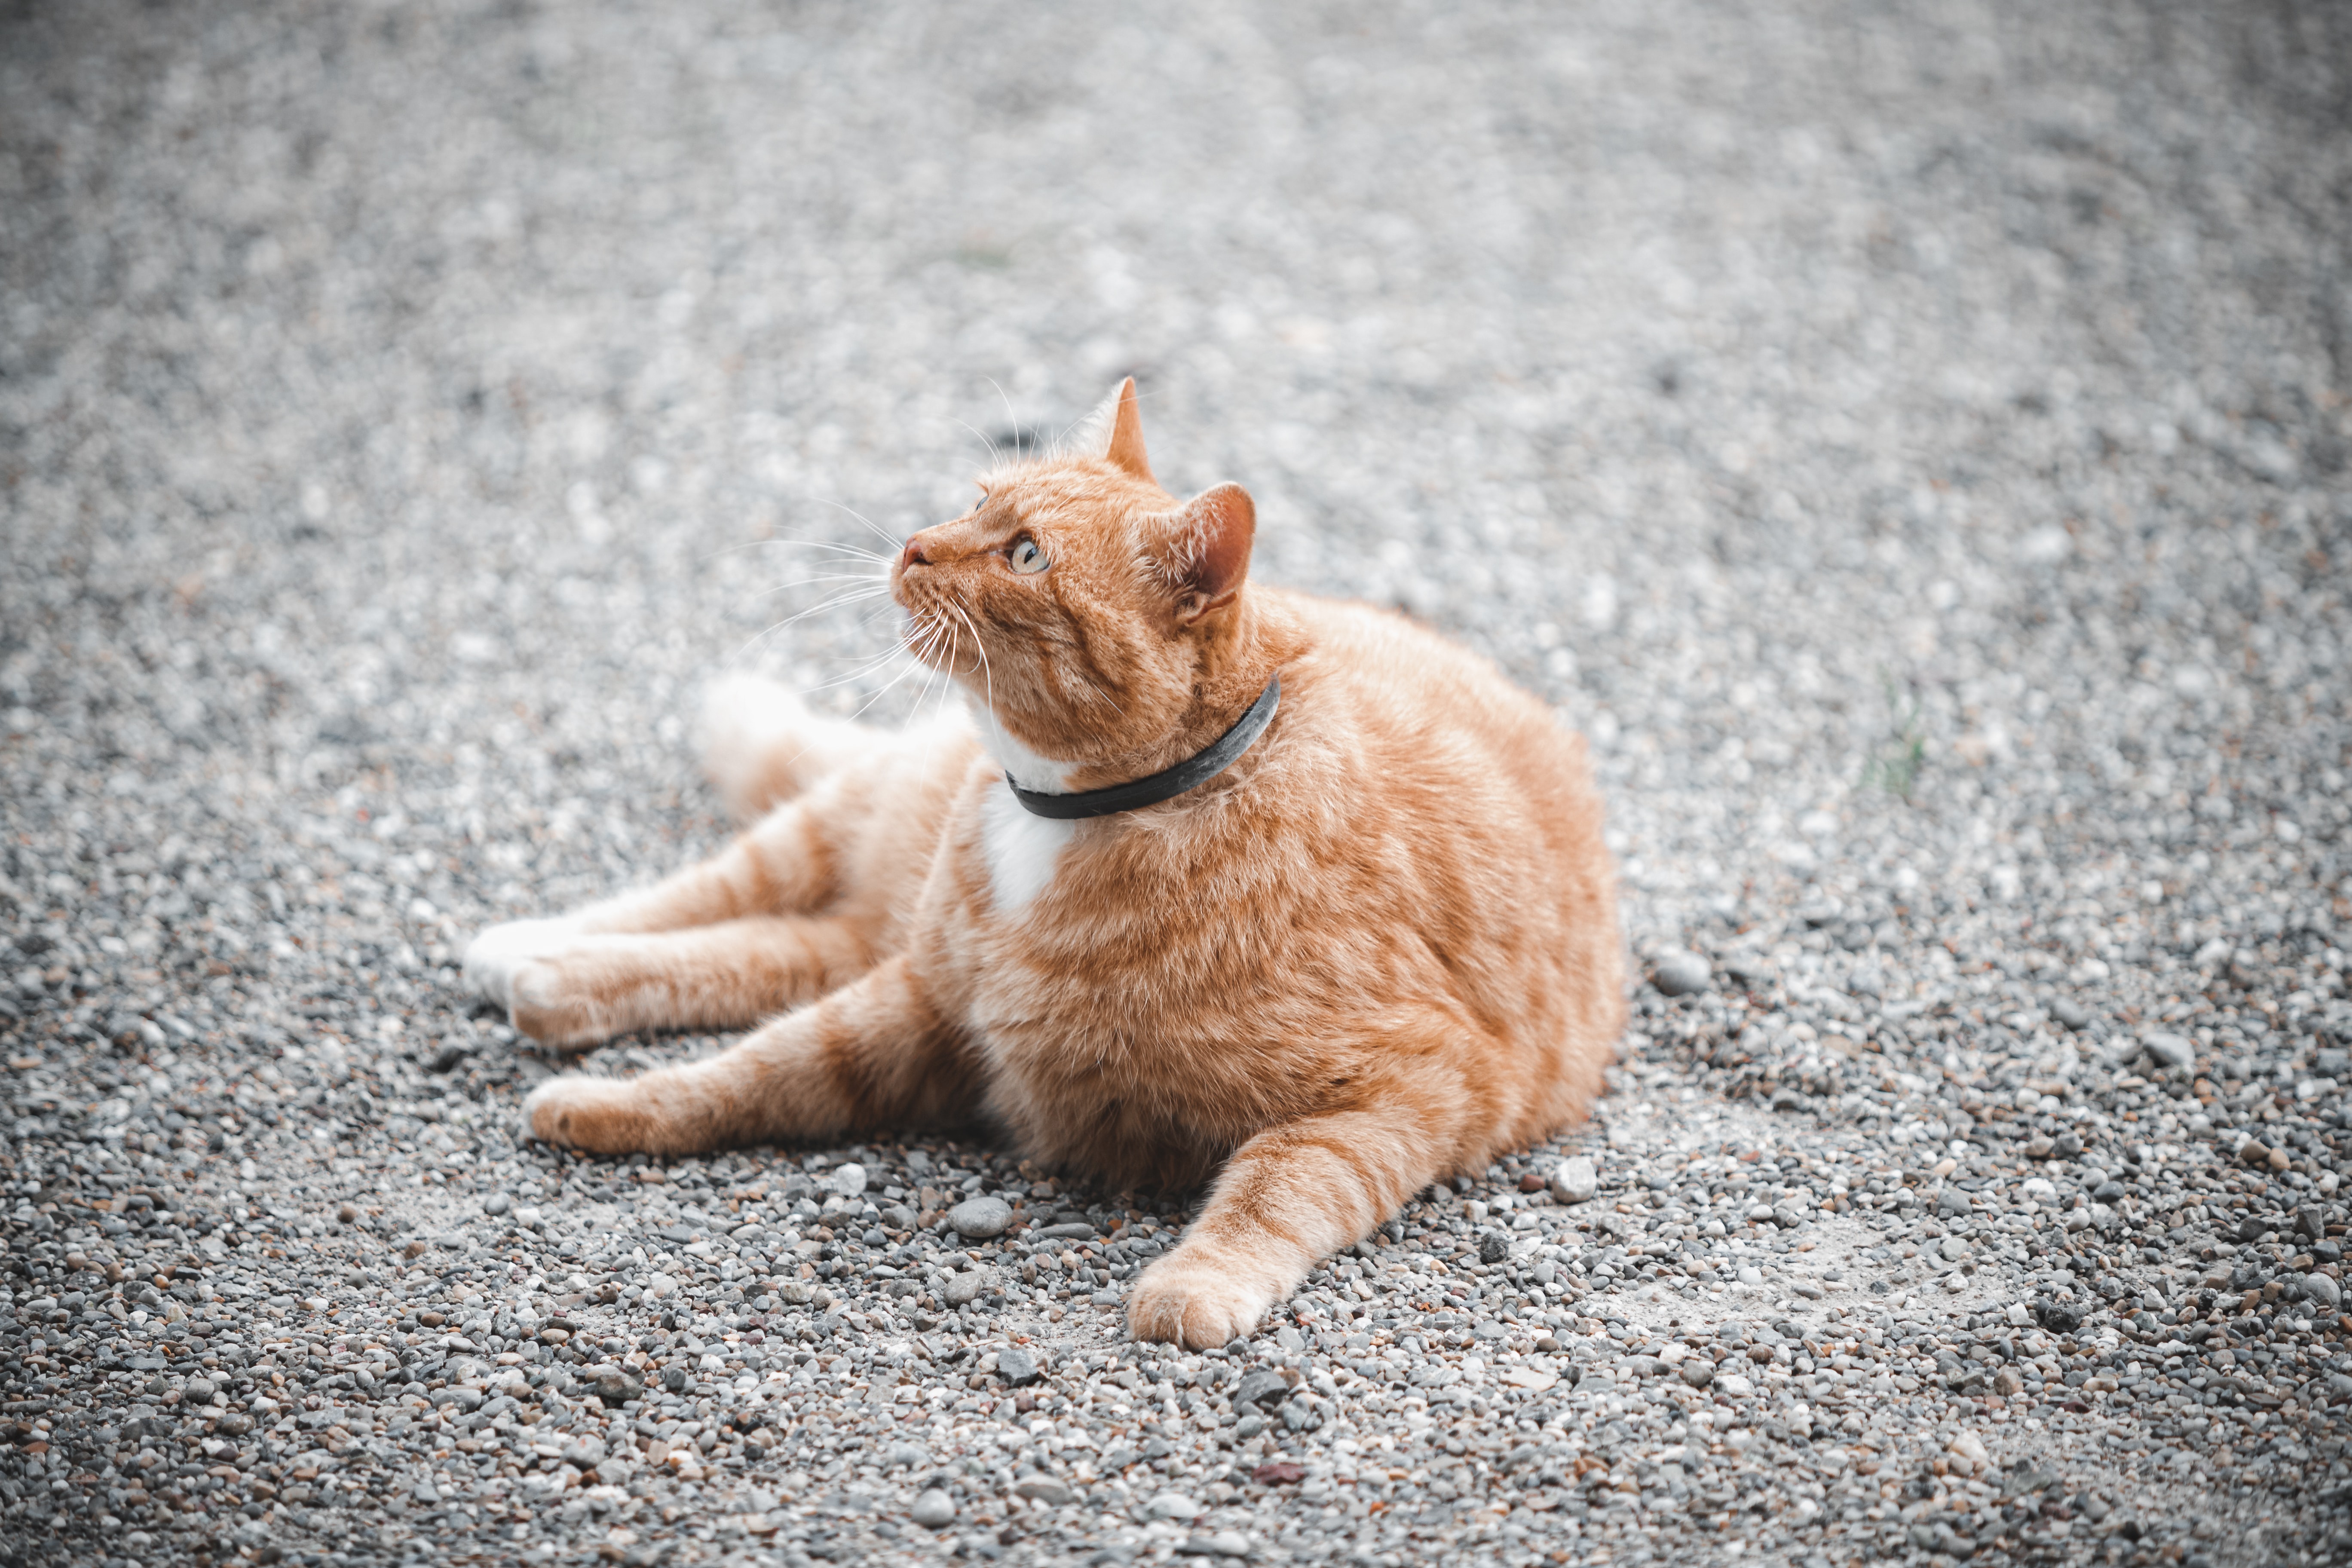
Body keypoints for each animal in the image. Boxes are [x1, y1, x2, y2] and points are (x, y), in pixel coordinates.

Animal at [475, 383, 1618, 1354]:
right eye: (978, 502)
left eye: (1025, 557)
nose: (914, 545)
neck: (1078, 813)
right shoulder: (924, 1002)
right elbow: (743, 1072)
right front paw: (617, 1106)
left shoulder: (1415, 1085)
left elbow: (1283, 1186)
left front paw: (1198, 1284)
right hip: (856, 853)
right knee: (712, 895)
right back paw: (521, 947)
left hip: (868, 930)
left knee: (761, 947)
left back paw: (542, 981)